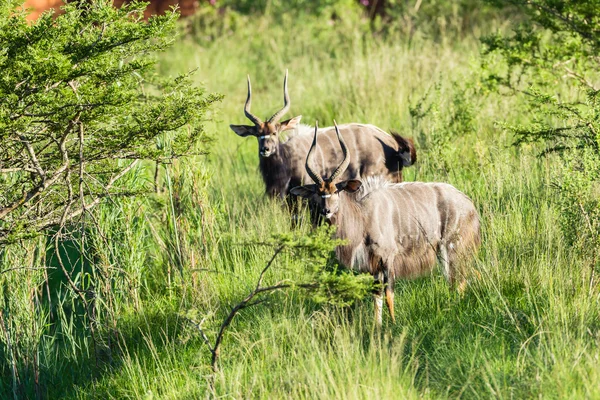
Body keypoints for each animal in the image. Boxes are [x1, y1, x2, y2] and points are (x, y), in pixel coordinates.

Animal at [288, 122, 480, 324]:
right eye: (318, 192)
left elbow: (389, 295)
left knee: (460, 279)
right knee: (465, 276)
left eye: (335, 191)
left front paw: (393, 324)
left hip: (452, 249)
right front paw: (377, 325)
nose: (326, 211)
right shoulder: (373, 265)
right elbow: (377, 295)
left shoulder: (388, 259)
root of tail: (470, 205)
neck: (364, 215)